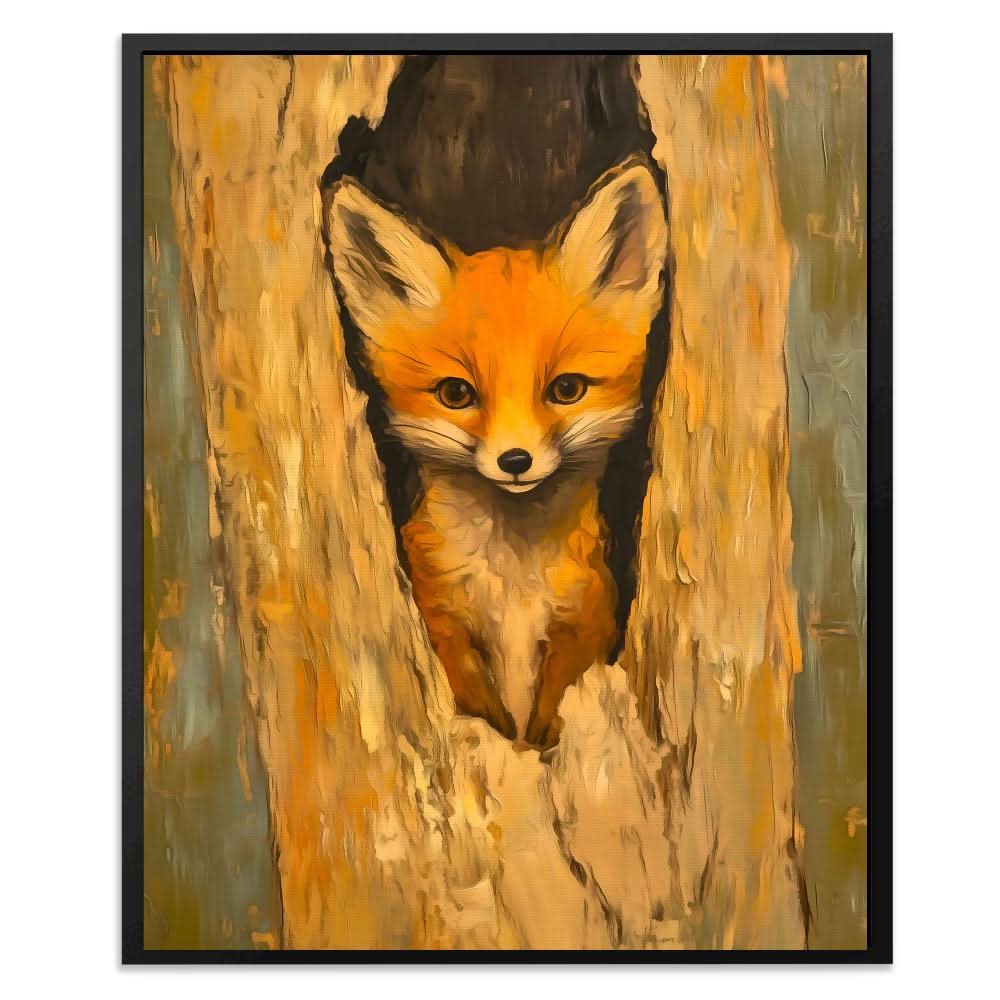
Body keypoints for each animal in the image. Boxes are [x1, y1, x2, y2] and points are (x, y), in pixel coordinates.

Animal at [326, 153, 668, 748]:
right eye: (456, 393)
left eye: (567, 388)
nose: (515, 462)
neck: (512, 588)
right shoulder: (442, 618)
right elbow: (478, 704)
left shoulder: (584, 625)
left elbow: (547, 715)